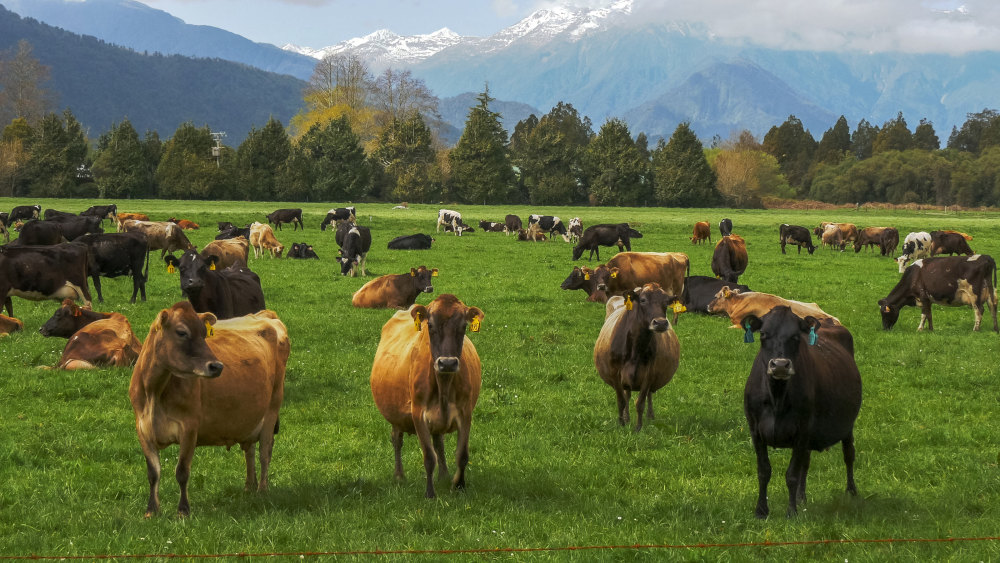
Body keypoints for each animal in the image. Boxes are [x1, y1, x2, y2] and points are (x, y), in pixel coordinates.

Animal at [129, 306, 290, 516]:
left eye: (204, 334)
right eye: (181, 332)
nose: (217, 366)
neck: (155, 391)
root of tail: (263, 315)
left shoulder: (189, 428)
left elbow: (182, 471)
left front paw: (183, 511)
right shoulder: (143, 429)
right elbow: (153, 472)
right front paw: (151, 510)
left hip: (272, 407)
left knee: (265, 451)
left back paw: (262, 489)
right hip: (250, 417)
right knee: (250, 451)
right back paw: (249, 486)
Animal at [374, 296, 486, 498]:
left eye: (463, 326)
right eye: (430, 326)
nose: (447, 363)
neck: (443, 385)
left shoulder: (466, 413)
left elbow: (462, 455)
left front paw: (459, 485)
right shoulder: (418, 414)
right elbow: (428, 456)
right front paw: (430, 493)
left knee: (438, 442)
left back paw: (444, 475)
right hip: (395, 414)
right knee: (397, 439)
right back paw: (399, 476)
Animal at [592, 282, 680, 432]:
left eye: (666, 302)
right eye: (643, 300)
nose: (661, 323)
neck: (636, 349)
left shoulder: (649, 374)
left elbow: (640, 403)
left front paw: (638, 428)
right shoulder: (615, 374)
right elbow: (621, 401)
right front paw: (621, 424)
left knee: (649, 394)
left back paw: (650, 416)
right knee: (627, 394)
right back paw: (627, 417)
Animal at [744, 308, 860, 520]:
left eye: (796, 336)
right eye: (763, 334)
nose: (780, 365)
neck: (777, 397)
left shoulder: (802, 430)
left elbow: (791, 474)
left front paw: (791, 512)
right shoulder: (755, 430)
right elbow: (764, 471)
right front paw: (761, 511)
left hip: (848, 425)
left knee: (849, 455)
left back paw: (851, 492)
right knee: (805, 463)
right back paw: (801, 497)